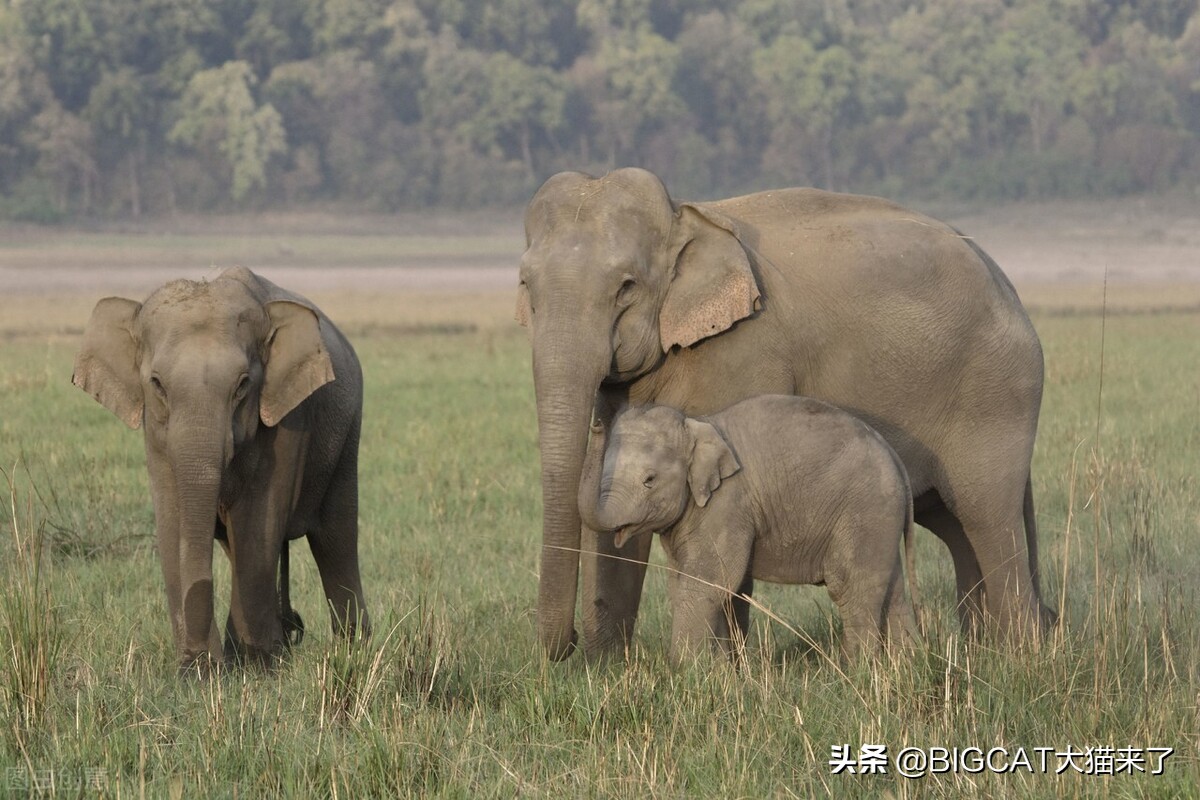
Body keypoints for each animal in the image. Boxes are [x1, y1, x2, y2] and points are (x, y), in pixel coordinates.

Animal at [73, 266, 367, 671]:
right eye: (157, 384)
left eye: (243, 385)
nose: (199, 661)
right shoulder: (156, 436)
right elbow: (173, 521)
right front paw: (203, 669)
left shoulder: (291, 419)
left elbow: (258, 521)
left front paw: (255, 666)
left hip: (346, 436)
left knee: (335, 538)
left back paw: (351, 649)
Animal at [580, 395, 916, 662]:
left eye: (649, 479)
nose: (596, 423)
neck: (697, 424)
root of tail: (896, 459)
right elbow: (685, 582)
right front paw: (719, 671)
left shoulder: (727, 503)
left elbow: (709, 580)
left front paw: (682, 671)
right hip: (881, 519)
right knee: (892, 590)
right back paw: (902, 666)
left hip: (865, 509)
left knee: (850, 586)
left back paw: (857, 671)